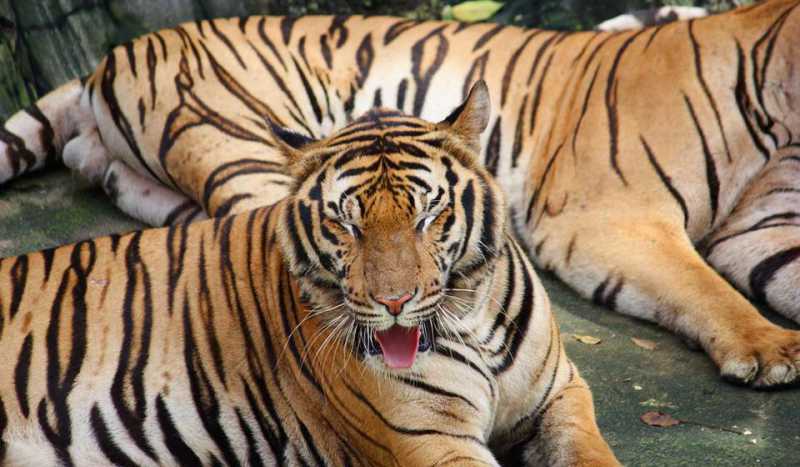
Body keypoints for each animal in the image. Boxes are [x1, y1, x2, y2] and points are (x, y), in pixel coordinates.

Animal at [0, 84, 619, 466]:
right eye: (346, 224)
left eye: (427, 215)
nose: (394, 303)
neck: (472, 319)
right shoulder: (431, 440)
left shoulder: (560, 396)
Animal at [2, 0, 800, 389]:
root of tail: (112, 54)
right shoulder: (611, 216)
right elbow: (703, 287)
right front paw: (769, 349)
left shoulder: (762, 226)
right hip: (241, 149)